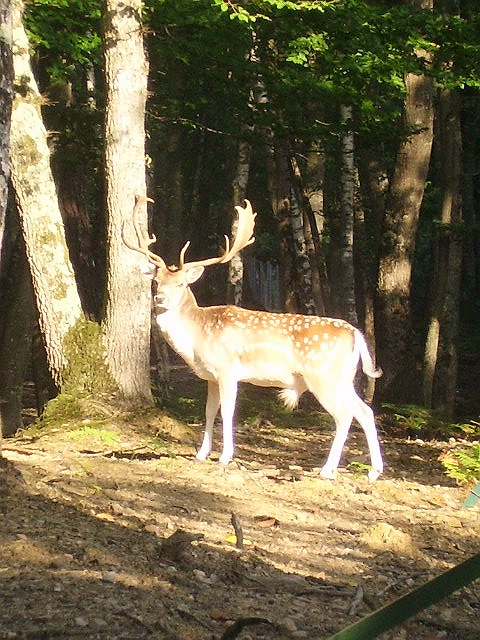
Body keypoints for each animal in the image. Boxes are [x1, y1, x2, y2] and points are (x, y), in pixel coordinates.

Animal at [125, 195, 384, 480]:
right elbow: (208, 411)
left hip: (322, 376)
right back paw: (374, 471)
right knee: (365, 411)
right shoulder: (211, 377)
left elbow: (227, 412)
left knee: (344, 415)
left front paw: (225, 457)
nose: (159, 298)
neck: (197, 337)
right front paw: (201, 454)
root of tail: (356, 333)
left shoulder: (227, 369)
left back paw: (328, 470)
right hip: (343, 378)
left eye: (182, 283)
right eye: (157, 281)